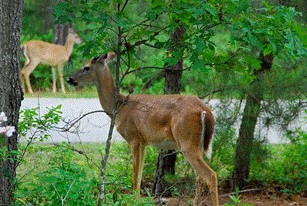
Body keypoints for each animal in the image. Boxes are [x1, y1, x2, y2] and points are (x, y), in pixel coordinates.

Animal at [67, 52, 220, 205]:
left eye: (86, 67)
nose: (70, 79)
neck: (120, 107)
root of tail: (205, 110)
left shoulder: (133, 137)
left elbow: (135, 176)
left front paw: (133, 200)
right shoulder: (144, 142)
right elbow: (140, 174)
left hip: (187, 141)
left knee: (210, 175)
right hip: (197, 145)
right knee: (200, 178)